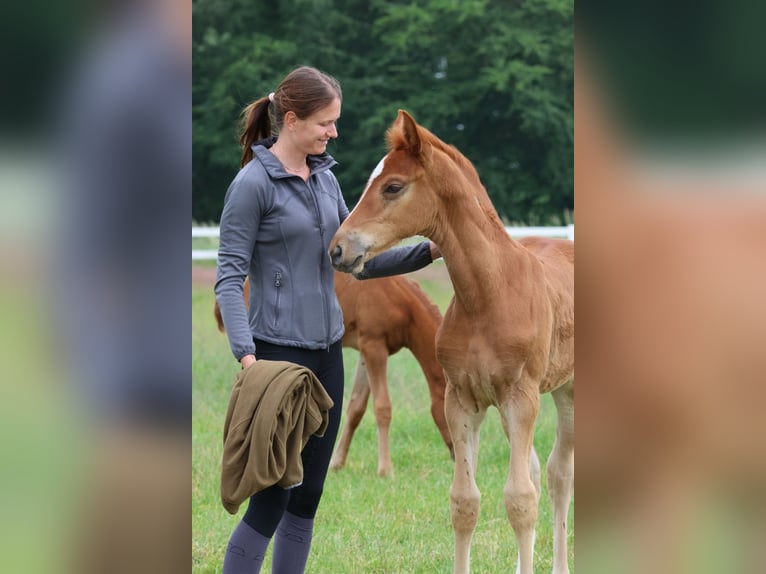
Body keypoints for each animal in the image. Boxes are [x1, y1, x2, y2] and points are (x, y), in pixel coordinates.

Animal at [214, 272, 456, 480]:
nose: (456, 455)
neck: (400, 301)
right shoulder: (374, 346)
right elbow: (382, 407)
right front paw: (386, 470)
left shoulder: (365, 352)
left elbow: (356, 407)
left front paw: (336, 463)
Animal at [330, 109, 576, 574]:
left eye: (393, 186)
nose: (337, 249)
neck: (488, 295)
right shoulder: (462, 400)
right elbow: (465, 501)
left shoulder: (521, 397)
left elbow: (519, 500)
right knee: (538, 471)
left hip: (567, 392)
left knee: (558, 475)